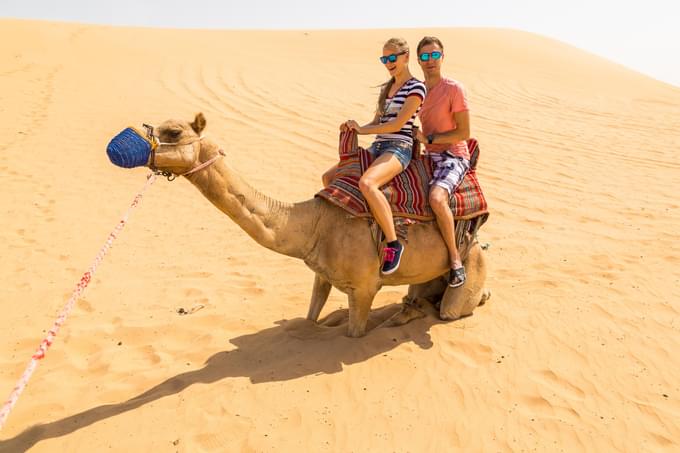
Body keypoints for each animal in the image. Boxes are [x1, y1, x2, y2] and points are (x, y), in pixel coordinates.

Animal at [147, 113, 488, 336]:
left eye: (174, 132)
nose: (141, 138)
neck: (315, 222)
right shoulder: (321, 274)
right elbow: (310, 318)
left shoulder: (365, 288)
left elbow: (354, 333)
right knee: (419, 298)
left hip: (470, 263)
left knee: (447, 309)